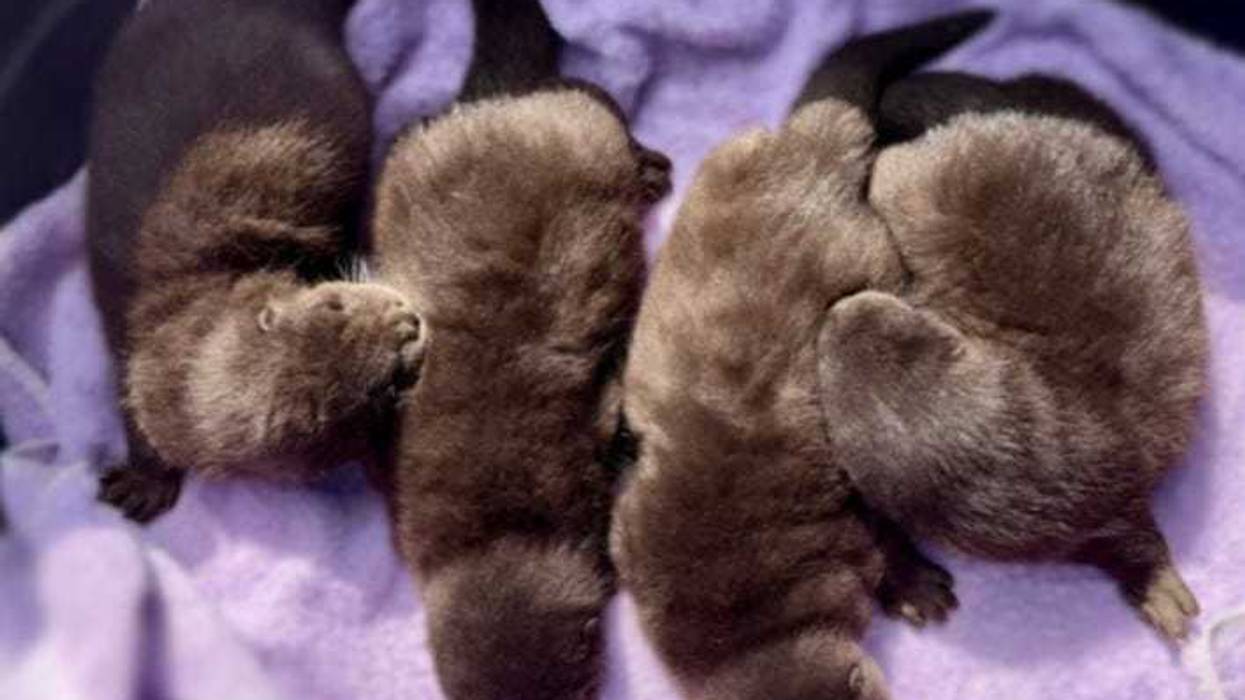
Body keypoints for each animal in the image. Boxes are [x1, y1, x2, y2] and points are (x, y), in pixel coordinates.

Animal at [817, 70, 1206, 641]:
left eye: (903, 326)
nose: (841, 309)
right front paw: (911, 582)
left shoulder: (1107, 494)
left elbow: (1128, 532)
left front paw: (1157, 582)